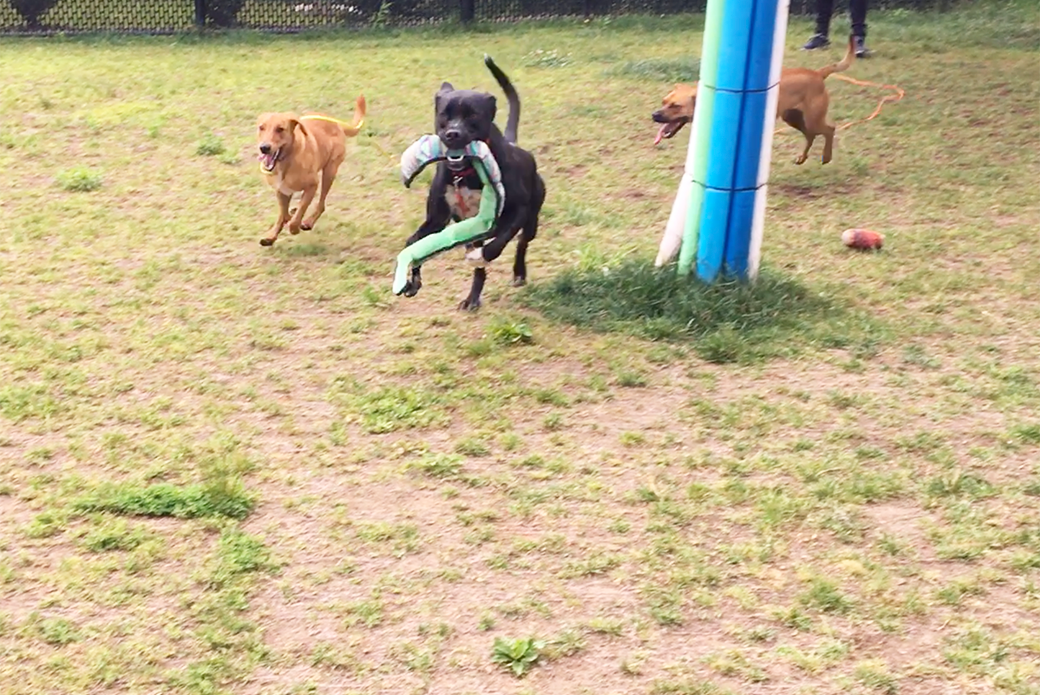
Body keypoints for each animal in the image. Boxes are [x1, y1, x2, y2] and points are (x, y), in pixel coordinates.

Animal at [256, 95, 368, 246]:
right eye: (261, 127)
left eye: (280, 129)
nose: (264, 147)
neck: (286, 161)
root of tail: (335, 122)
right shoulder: (281, 191)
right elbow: (283, 214)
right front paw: (272, 235)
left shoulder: (312, 185)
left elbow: (298, 213)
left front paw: (295, 226)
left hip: (329, 172)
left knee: (321, 204)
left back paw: (308, 222)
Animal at [399, 55, 549, 310]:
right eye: (444, 115)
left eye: (473, 116)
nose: (453, 133)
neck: (466, 173)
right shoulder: (437, 220)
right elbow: (413, 243)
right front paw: (413, 280)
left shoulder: (518, 210)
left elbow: (500, 242)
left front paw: (484, 255)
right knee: (481, 271)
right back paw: (472, 299)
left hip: (532, 216)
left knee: (522, 242)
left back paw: (518, 273)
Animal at [653, 35, 856, 165]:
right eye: (663, 101)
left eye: (676, 106)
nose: (654, 115)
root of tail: (818, 73)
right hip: (793, 118)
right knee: (810, 135)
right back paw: (802, 157)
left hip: (812, 119)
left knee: (829, 129)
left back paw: (826, 156)